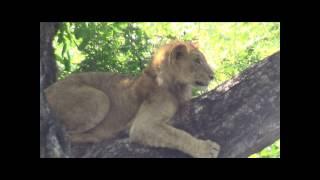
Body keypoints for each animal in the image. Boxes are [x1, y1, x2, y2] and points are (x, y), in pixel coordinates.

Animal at [45, 40, 220, 158]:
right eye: (197, 61)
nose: (213, 76)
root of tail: (46, 90)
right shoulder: (143, 125)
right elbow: (177, 134)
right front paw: (207, 148)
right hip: (99, 99)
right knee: (65, 134)